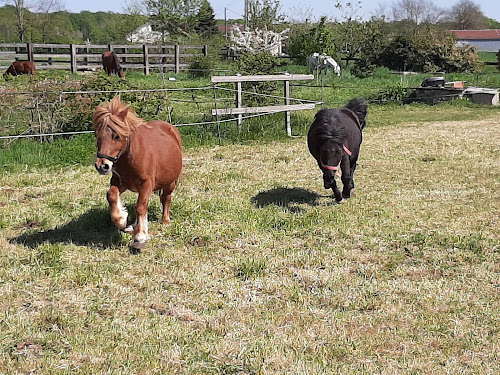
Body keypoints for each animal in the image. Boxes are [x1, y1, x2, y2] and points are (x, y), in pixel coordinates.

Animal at [93, 95, 183, 251]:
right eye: (96, 134)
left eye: (116, 136)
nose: (102, 166)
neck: (130, 157)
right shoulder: (119, 183)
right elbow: (112, 196)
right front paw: (122, 220)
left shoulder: (146, 184)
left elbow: (141, 207)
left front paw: (140, 236)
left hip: (171, 182)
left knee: (166, 198)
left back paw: (165, 220)